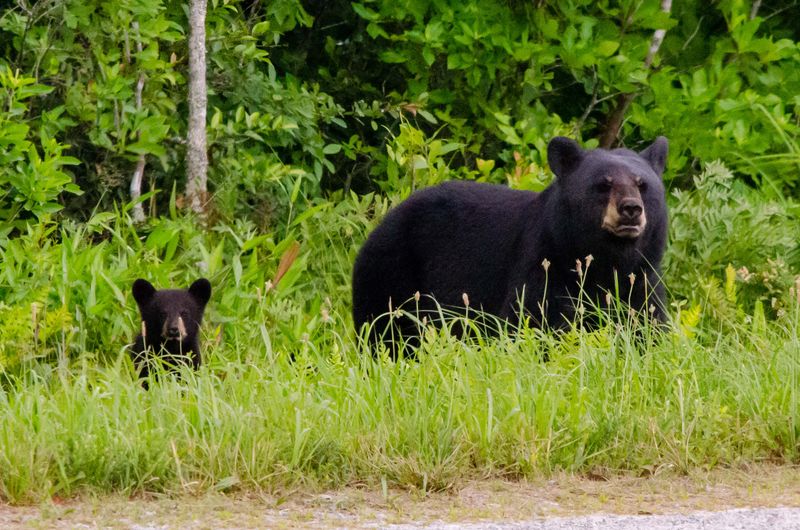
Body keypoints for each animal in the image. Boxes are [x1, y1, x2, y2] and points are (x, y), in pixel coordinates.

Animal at [354, 135, 668, 354]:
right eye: (604, 184)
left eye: (642, 184)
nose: (631, 209)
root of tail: (380, 224)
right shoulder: (543, 263)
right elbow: (532, 320)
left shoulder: (642, 279)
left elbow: (648, 325)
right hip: (392, 273)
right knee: (386, 331)